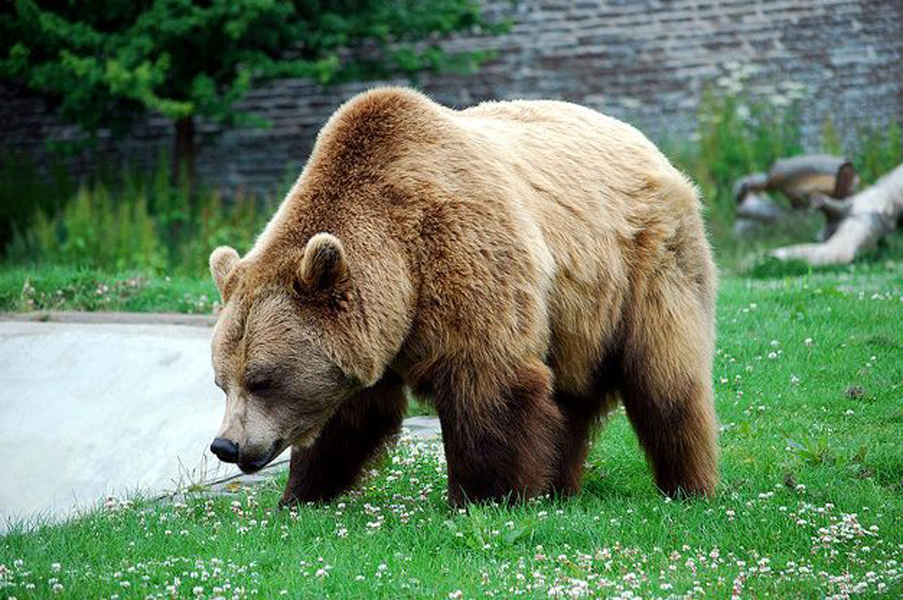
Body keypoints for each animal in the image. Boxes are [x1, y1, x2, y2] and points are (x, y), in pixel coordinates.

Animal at [207, 87, 718, 507]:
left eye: (262, 379)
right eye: (222, 382)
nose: (226, 445)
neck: (402, 266)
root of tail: (643, 140)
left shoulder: (464, 254)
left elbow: (487, 383)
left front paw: (483, 496)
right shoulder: (369, 331)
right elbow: (349, 412)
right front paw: (300, 495)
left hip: (648, 264)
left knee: (666, 380)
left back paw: (687, 483)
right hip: (576, 313)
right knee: (571, 396)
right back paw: (558, 484)